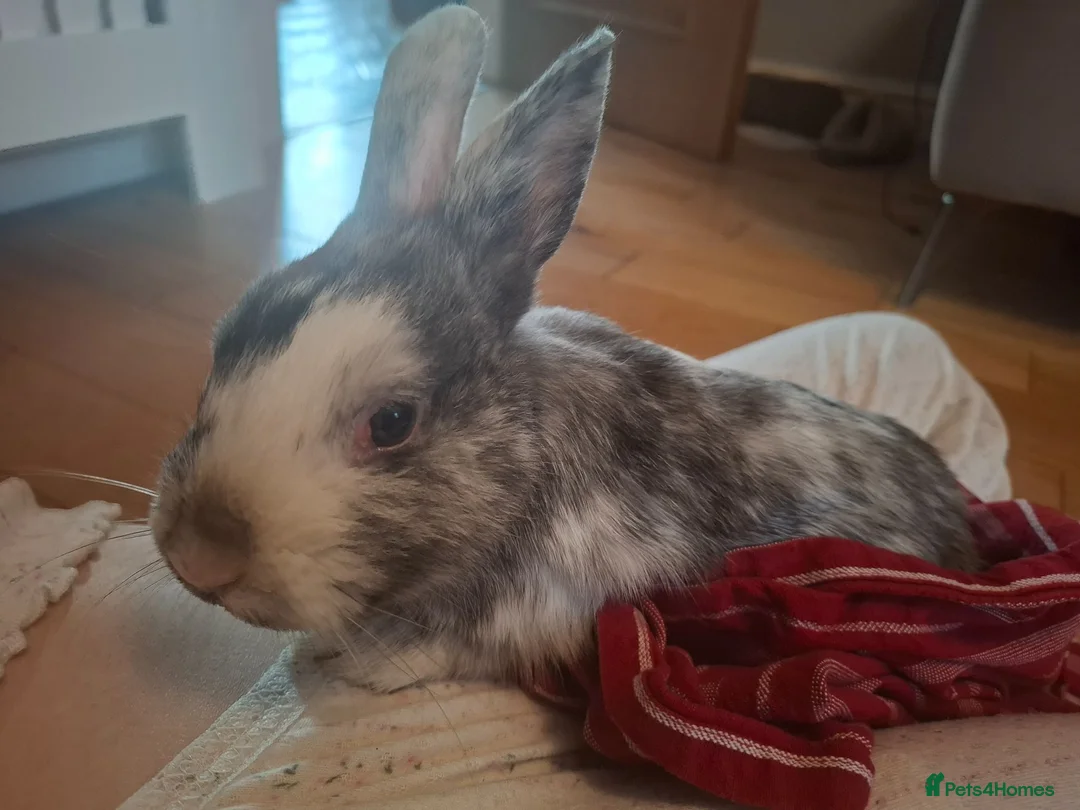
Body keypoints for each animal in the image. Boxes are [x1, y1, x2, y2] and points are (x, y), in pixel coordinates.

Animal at [150, 6, 976, 693]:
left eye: (391, 422)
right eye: (224, 345)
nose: (197, 557)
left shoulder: (559, 603)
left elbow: (452, 648)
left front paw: (357, 661)